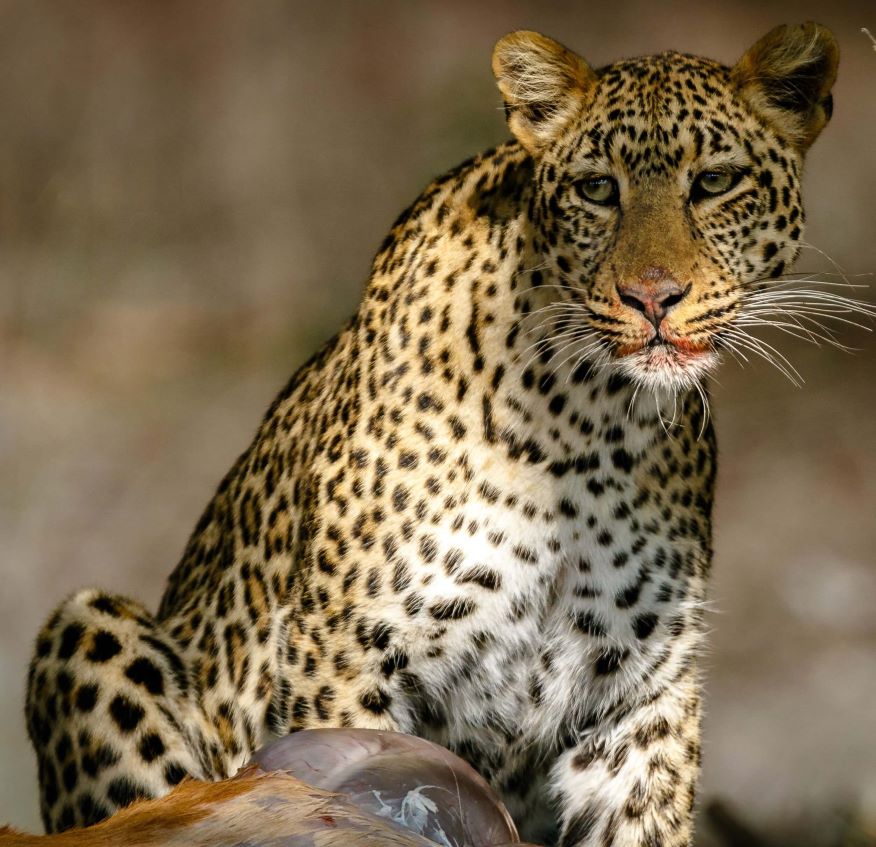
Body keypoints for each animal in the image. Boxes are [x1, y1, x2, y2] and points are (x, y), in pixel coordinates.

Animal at [24, 22, 841, 847]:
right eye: (596, 189)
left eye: (715, 183)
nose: (652, 297)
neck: (589, 425)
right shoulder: (345, 657)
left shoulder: (642, 694)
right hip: (89, 625)